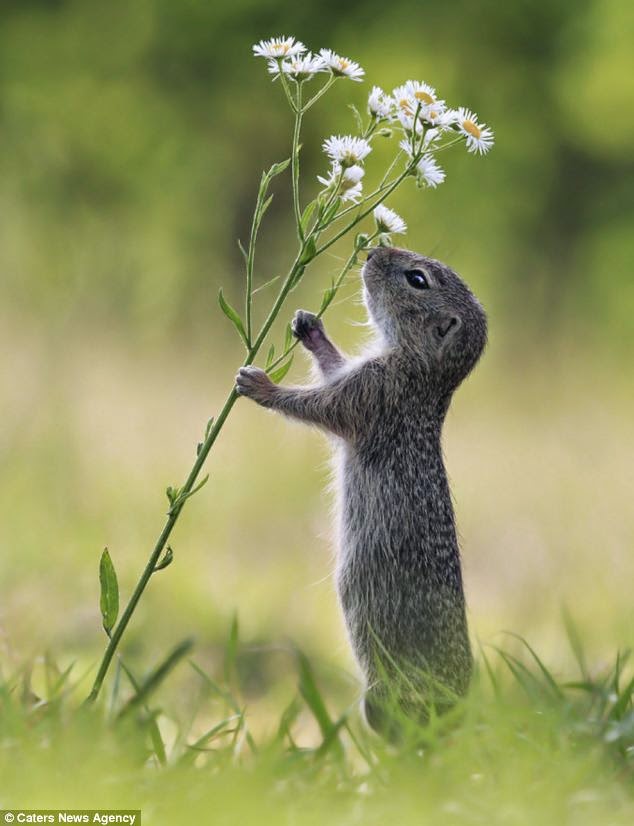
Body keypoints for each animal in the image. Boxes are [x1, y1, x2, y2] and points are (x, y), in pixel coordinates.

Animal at [235, 245, 486, 732]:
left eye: (417, 279)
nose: (373, 250)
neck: (423, 372)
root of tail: (461, 709)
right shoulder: (359, 377)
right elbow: (332, 367)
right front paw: (310, 328)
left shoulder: (371, 392)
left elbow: (319, 406)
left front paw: (261, 385)